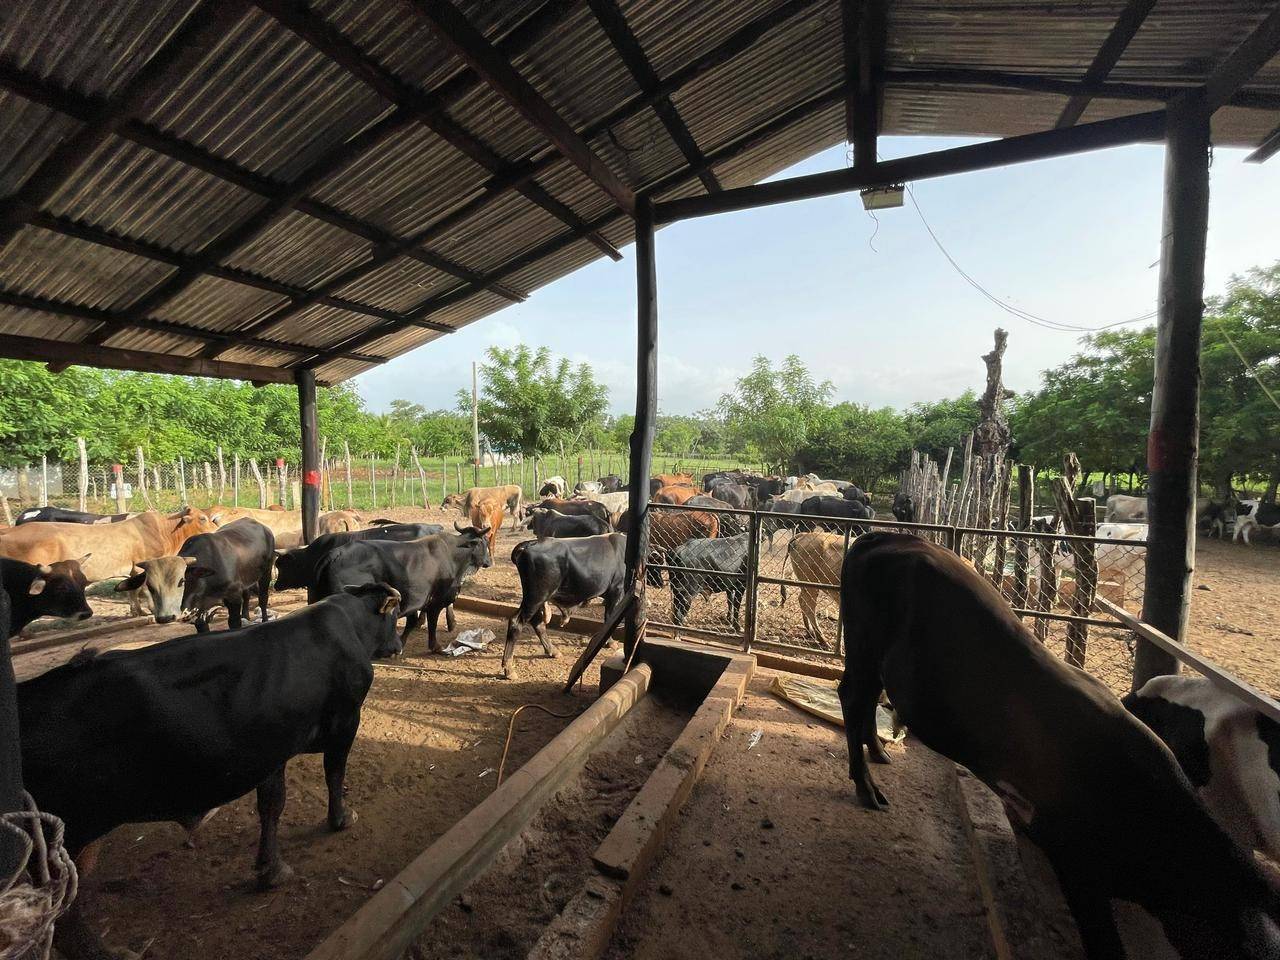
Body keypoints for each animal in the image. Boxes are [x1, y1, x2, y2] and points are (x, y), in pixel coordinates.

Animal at [0, 508, 220, 616]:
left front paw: (136, 611)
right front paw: (149, 609)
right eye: (202, 518)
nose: (217, 530)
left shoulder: (132, 569)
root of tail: (11, 530)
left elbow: (132, 590)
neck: (164, 531)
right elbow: (143, 588)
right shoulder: (144, 564)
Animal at [19, 581, 403, 960]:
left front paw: (270, 870)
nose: (399, 646)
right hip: (67, 836)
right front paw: (341, 819)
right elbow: (334, 774)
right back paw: (107, 953)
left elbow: (272, 805)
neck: (351, 624)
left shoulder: (272, 748)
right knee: (62, 914)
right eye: (394, 614)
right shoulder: (345, 722)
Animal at [114, 517, 275, 632]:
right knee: (247, 595)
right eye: (149, 585)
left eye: (181, 581)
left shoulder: (233, 599)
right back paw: (246, 616)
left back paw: (264, 619)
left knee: (263, 599)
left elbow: (234, 622)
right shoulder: (199, 616)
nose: (165, 617)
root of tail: (263, 527)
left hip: (266, 572)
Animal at [313, 523, 491, 654]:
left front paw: (400, 643)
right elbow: (432, 624)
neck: (454, 554)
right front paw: (436, 647)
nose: (489, 562)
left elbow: (411, 623)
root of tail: (337, 553)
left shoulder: (413, 599)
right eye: (484, 542)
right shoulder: (435, 602)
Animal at [503, 533, 626, 679]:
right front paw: (611, 642)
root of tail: (529, 544)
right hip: (536, 596)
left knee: (537, 622)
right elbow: (610, 618)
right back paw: (509, 669)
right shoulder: (616, 590)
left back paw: (553, 651)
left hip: (535, 598)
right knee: (516, 623)